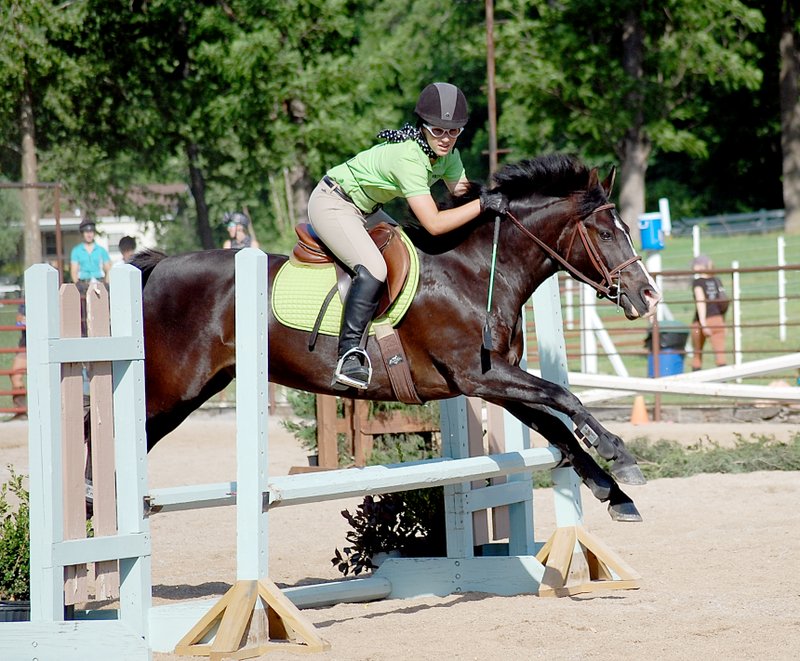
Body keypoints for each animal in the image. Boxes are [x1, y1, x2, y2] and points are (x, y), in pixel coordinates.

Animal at [131, 153, 660, 520]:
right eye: (606, 234)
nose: (648, 295)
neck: (474, 270)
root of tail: (158, 268)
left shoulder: (495, 383)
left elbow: (557, 426)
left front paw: (615, 493)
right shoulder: (478, 376)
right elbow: (564, 398)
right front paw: (618, 453)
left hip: (196, 390)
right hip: (169, 391)